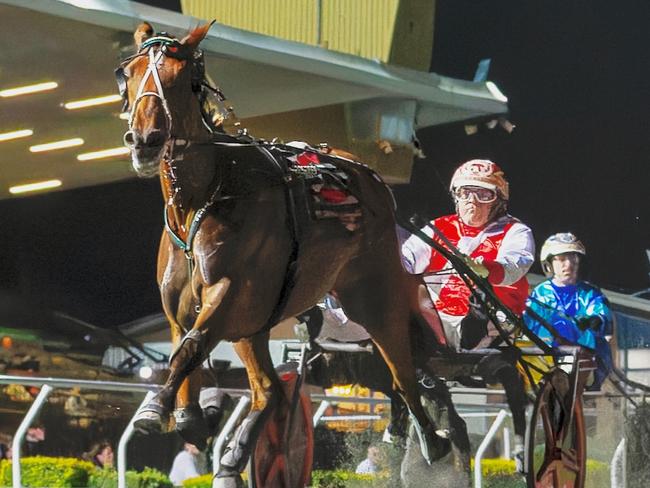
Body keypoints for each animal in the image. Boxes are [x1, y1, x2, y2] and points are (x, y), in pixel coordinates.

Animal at [116, 21, 448, 484]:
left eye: (184, 80)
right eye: (128, 74)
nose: (146, 141)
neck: (205, 197)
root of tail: (370, 177)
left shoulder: (231, 291)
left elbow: (192, 347)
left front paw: (157, 408)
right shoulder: (182, 310)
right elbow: (187, 361)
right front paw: (193, 415)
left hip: (371, 292)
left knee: (402, 371)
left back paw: (430, 441)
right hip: (256, 323)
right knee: (270, 390)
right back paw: (234, 457)